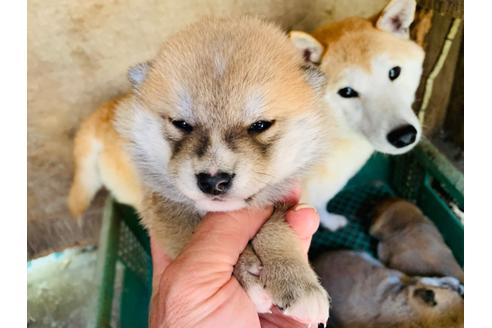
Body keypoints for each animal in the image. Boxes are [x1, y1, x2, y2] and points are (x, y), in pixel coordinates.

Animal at [70, 16, 330, 324]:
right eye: (181, 124)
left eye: (260, 125)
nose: (214, 181)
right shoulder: (164, 207)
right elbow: (192, 235)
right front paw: (245, 276)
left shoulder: (281, 202)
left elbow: (276, 228)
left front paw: (297, 281)